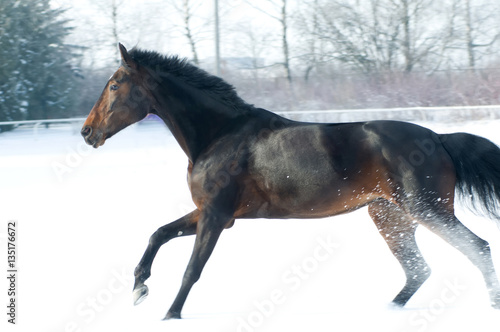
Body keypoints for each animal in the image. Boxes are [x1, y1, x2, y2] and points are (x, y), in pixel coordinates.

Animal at [81, 44, 500, 320]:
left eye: (115, 85)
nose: (87, 132)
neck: (218, 135)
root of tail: (439, 139)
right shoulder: (212, 212)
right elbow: (159, 233)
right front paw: (139, 287)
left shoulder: (216, 216)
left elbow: (191, 270)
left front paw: (169, 316)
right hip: (390, 216)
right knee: (417, 270)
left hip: (426, 208)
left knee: (477, 249)